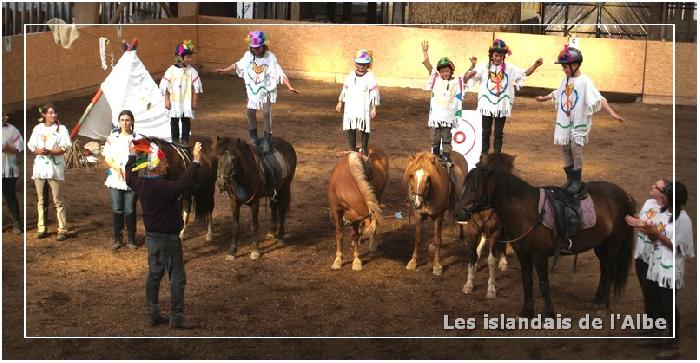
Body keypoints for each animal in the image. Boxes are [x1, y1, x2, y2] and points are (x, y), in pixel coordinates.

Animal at [456, 154, 636, 318]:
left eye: (474, 188)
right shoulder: (523, 254)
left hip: (613, 243)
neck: (525, 211)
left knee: (610, 269)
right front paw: (527, 312)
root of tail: (625, 194)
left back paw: (602, 305)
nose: (459, 213)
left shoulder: (540, 255)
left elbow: (543, 284)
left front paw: (549, 313)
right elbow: (527, 281)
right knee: (604, 269)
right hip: (601, 245)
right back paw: (598, 301)